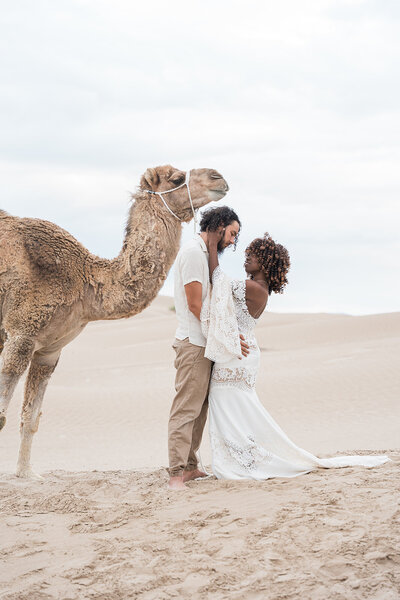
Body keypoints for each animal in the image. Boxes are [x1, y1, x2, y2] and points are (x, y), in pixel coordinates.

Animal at [0, 164, 228, 478]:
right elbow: (1, 416)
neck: (84, 280)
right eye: (177, 179)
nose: (219, 177)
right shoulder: (21, 333)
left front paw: (26, 473)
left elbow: (31, 418)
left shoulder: (49, 350)